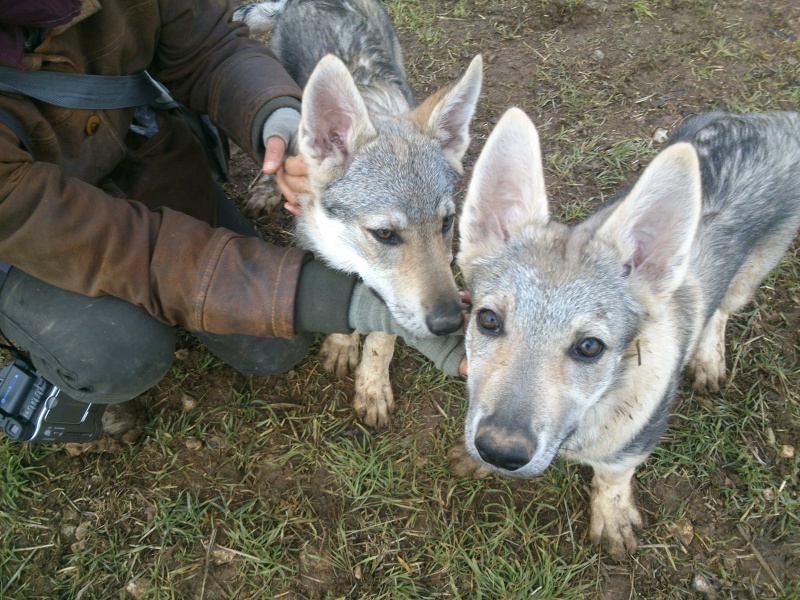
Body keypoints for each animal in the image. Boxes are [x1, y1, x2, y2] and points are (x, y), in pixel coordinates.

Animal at [231, 2, 482, 428]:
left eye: (446, 224)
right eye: (385, 234)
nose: (451, 322)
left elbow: (382, 338)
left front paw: (372, 386)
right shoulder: (321, 247)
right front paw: (341, 343)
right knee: (273, 146)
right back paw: (266, 187)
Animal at [454, 108, 796, 556]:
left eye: (589, 347)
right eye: (488, 320)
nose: (497, 451)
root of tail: (768, 119)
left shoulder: (636, 440)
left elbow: (613, 475)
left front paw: (612, 516)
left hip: (752, 273)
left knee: (721, 311)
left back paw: (709, 358)